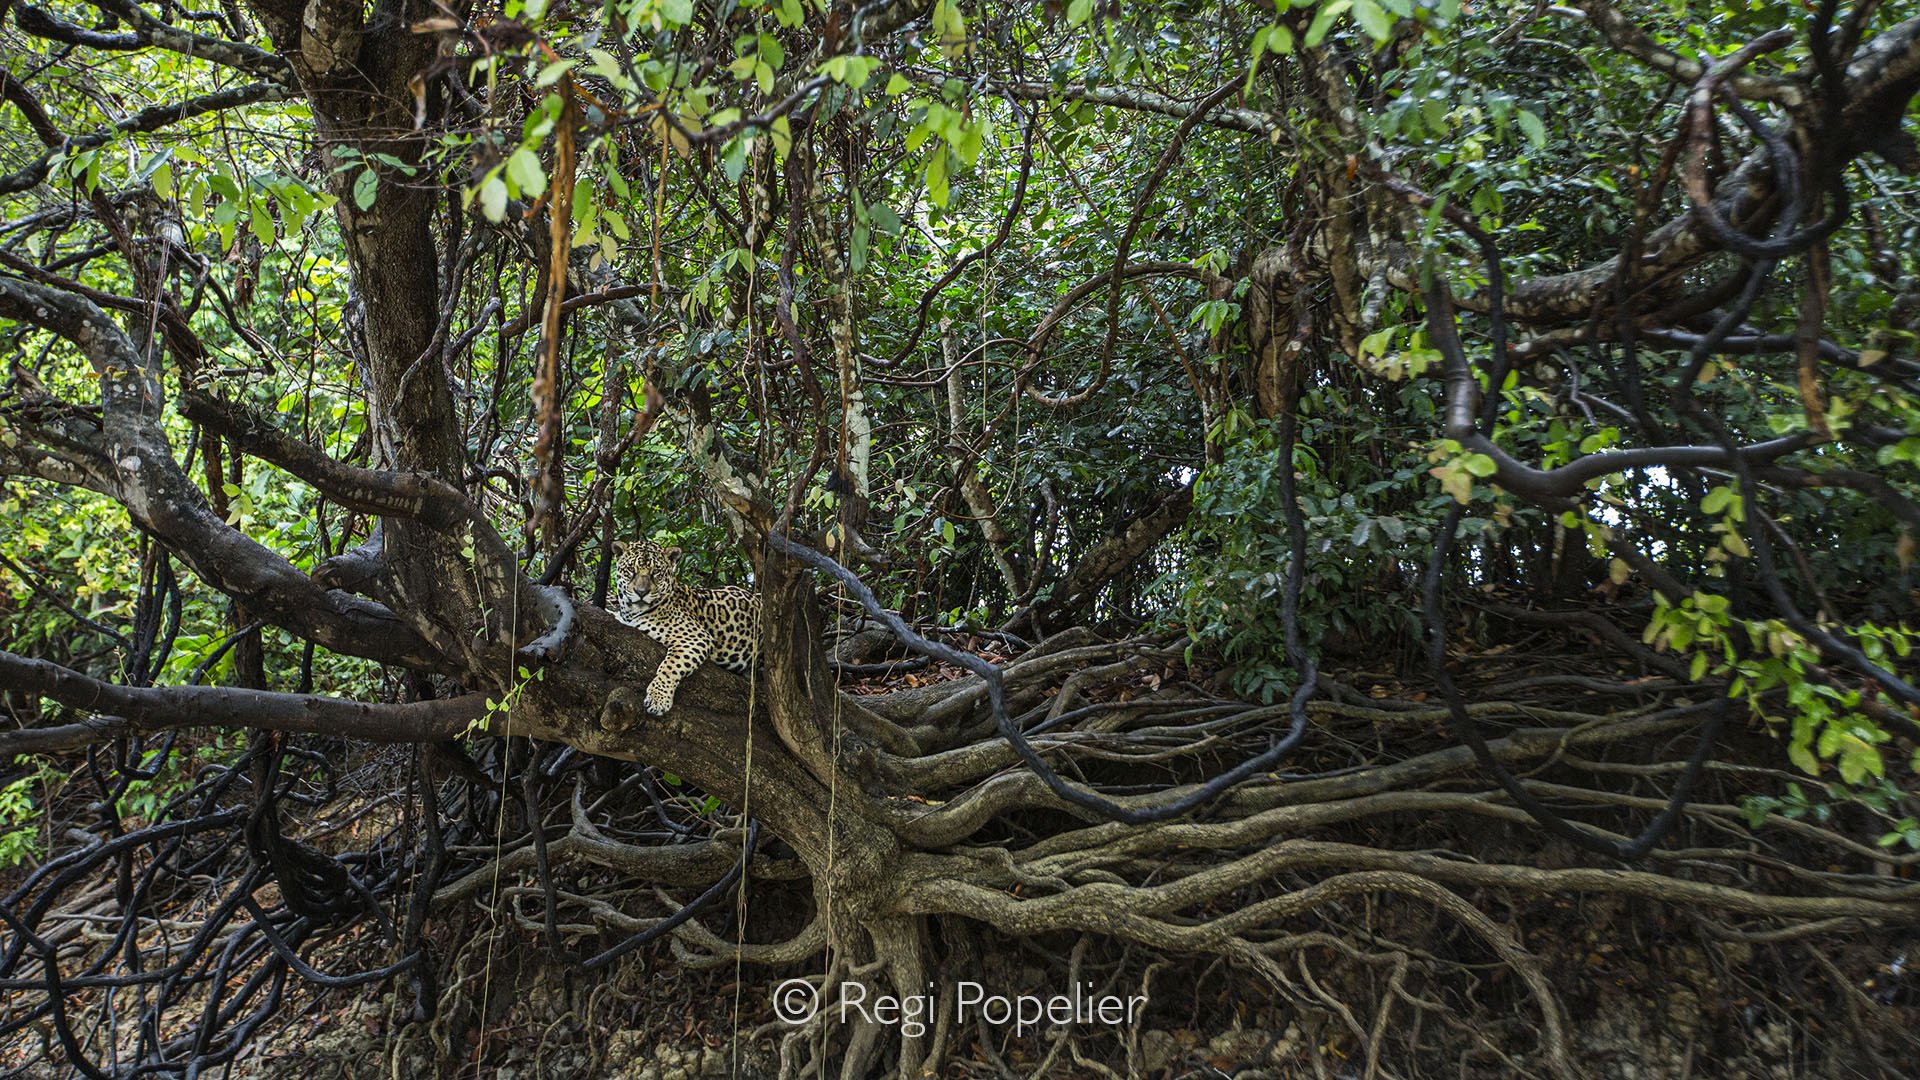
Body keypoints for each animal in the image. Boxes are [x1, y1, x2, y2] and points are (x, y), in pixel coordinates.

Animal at [610, 539, 759, 715]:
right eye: (631, 571)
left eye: (656, 573)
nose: (641, 592)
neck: (631, 612)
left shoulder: (695, 637)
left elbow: (670, 666)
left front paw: (658, 699)